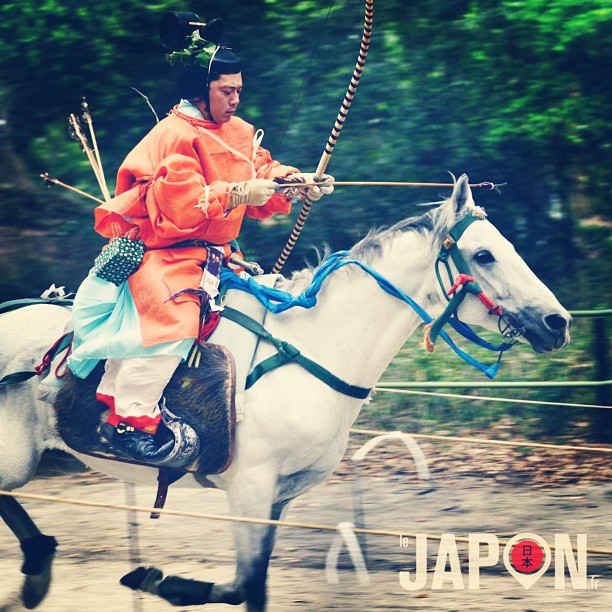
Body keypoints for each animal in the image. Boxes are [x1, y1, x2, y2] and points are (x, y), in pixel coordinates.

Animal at [2, 175, 572, 608]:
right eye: (485, 255)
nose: (558, 322)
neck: (311, 350)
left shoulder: (276, 498)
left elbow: (245, 585)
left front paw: (162, 581)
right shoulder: (250, 489)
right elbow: (245, 586)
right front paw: (158, 578)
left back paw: (39, 566)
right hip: (15, 458)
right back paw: (37, 567)